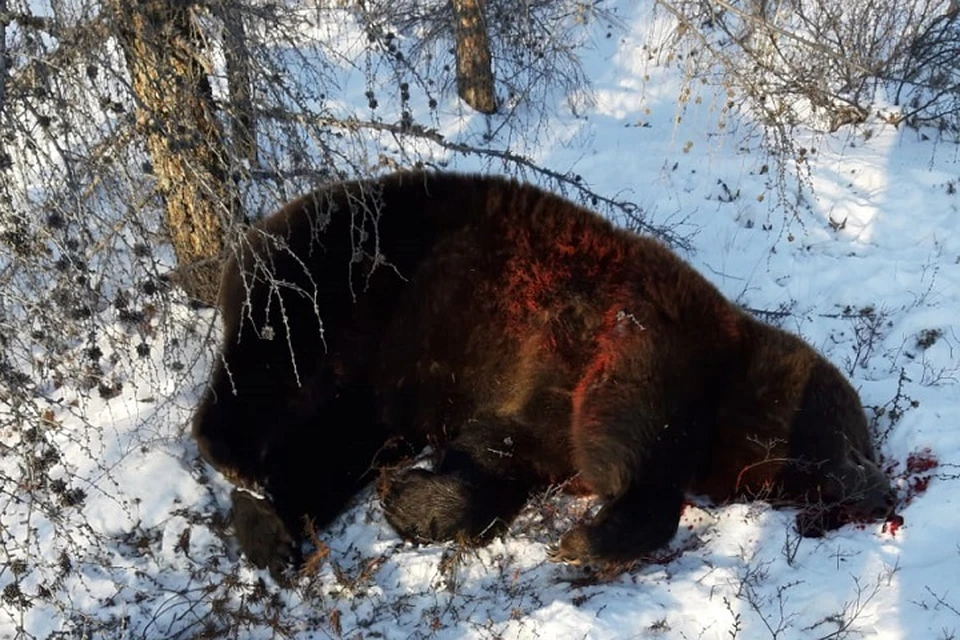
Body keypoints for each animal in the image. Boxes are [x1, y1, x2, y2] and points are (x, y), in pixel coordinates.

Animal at [191, 171, 896, 568]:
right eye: (856, 439)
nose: (881, 488)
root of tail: (258, 225)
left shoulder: (537, 411)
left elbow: (499, 456)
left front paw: (412, 498)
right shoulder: (653, 328)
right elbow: (635, 427)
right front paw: (591, 535)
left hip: (368, 381)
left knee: (333, 442)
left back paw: (271, 524)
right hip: (343, 276)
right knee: (268, 355)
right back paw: (230, 452)